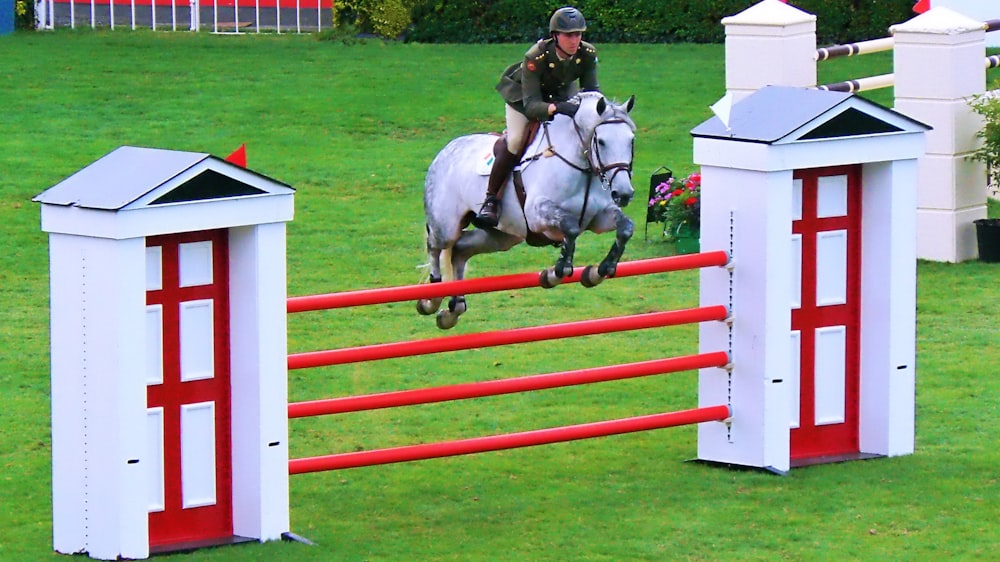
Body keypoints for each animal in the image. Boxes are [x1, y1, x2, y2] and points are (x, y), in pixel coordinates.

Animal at [418, 92, 636, 328]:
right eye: (601, 142)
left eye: (631, 140)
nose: (624, 194)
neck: (582, 166)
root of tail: (446, 151)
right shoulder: (538, 214)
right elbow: (570, 228)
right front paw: (556, 272)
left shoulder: (599, 218)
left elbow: (626, 227)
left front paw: (599, 271)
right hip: (446, 225)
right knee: (435, 246)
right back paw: (431, 300)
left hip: (503, 235)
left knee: (460, 249)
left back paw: (453, 309)